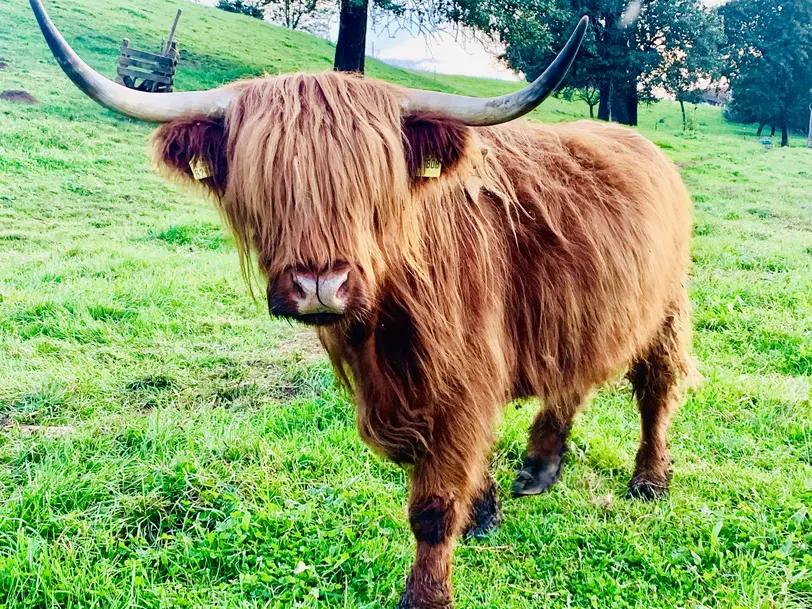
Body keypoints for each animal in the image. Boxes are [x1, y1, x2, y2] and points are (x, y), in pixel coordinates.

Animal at [31, 2, 692, 604]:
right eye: (263, 183)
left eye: (372, 184)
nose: (319, 285)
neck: (386, 328)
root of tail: (640, 142)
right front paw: (484, 514)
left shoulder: (462, 380)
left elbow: (433, 505)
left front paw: (426, 593)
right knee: (572, 375)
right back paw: (540, 466)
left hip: (667, 307)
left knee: (657, 387)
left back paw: (649, 480)